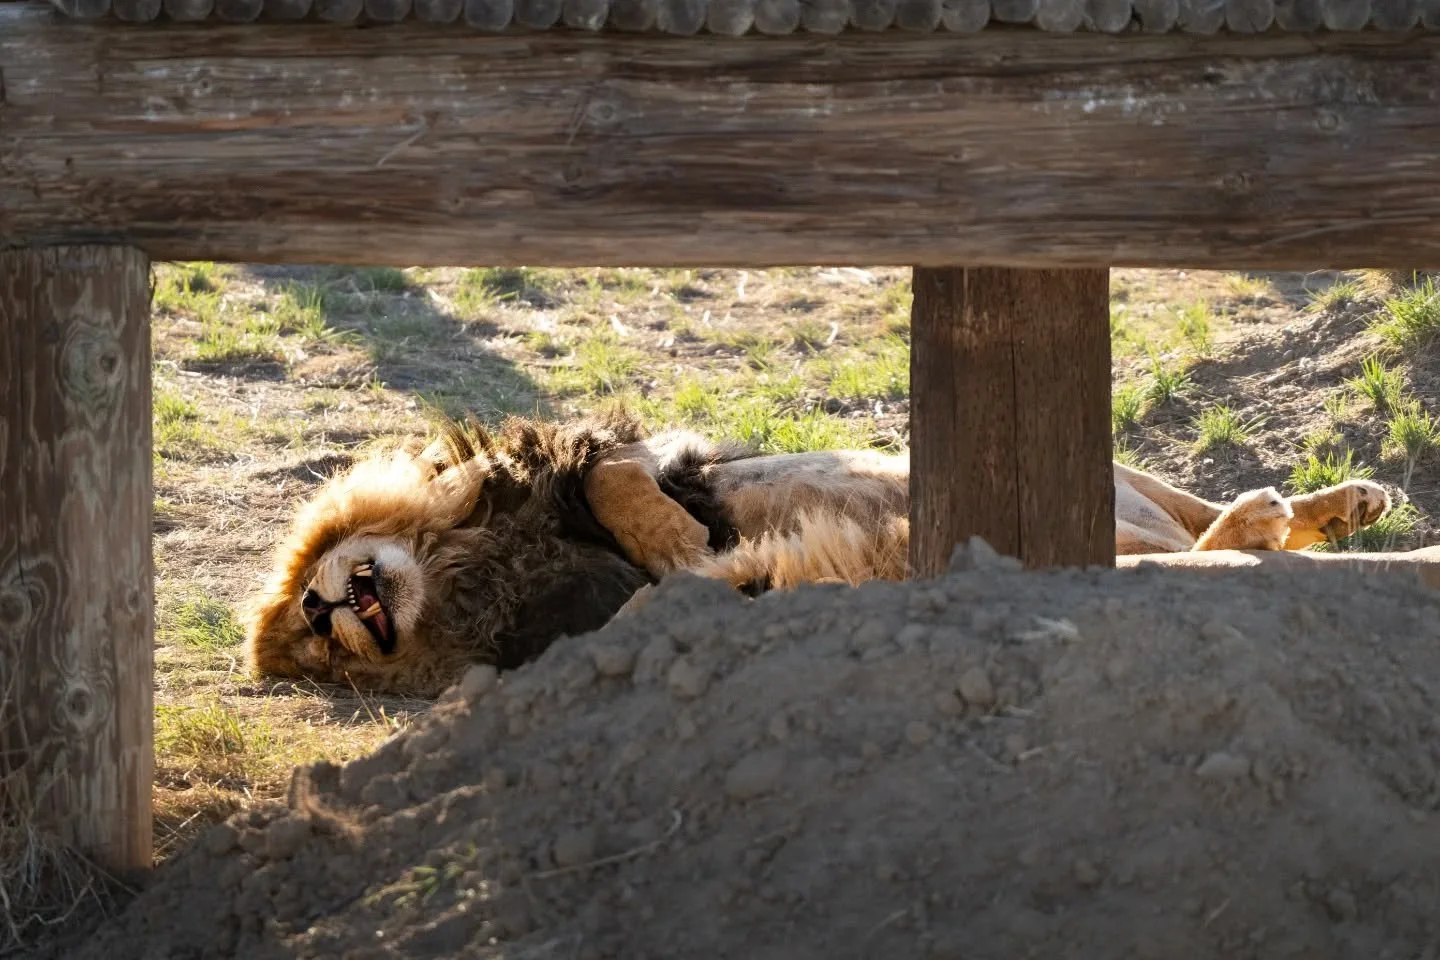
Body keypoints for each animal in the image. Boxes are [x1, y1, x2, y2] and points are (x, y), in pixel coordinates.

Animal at [244, 409, 1390, 696]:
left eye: (310, 601)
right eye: (322, 652)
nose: (323, 613)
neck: (474, 576)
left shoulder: (636, 453)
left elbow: (622, 486)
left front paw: (676, 537)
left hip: (1097, 476)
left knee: (1181, 515)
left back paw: (1339, 504)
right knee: (1171, 549)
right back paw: (1266, 520)